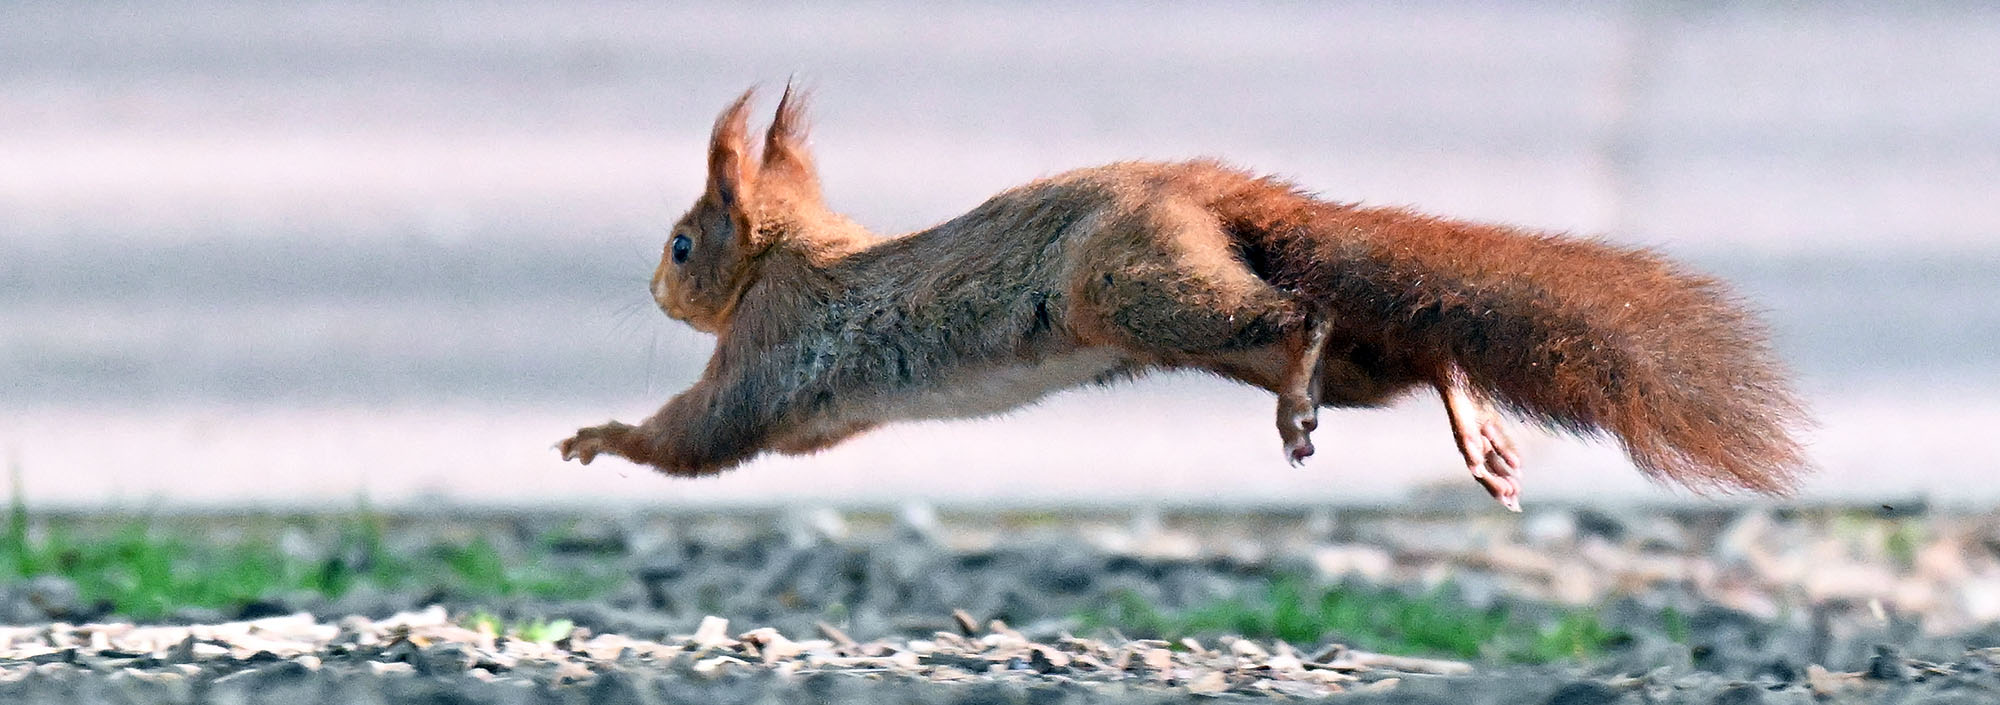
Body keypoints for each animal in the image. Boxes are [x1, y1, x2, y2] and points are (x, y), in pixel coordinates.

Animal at [558, 86, 1809, 511]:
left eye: (682, 242)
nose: (654, 289)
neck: (799, 254)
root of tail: (1200, 188)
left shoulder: (770, 351)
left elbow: (702, 435)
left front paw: (599, 438)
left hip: (1134, 288)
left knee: (1300, 320)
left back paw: (1303, 406)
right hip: (1211, 317)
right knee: (1408, 352)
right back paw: (1474, 432)